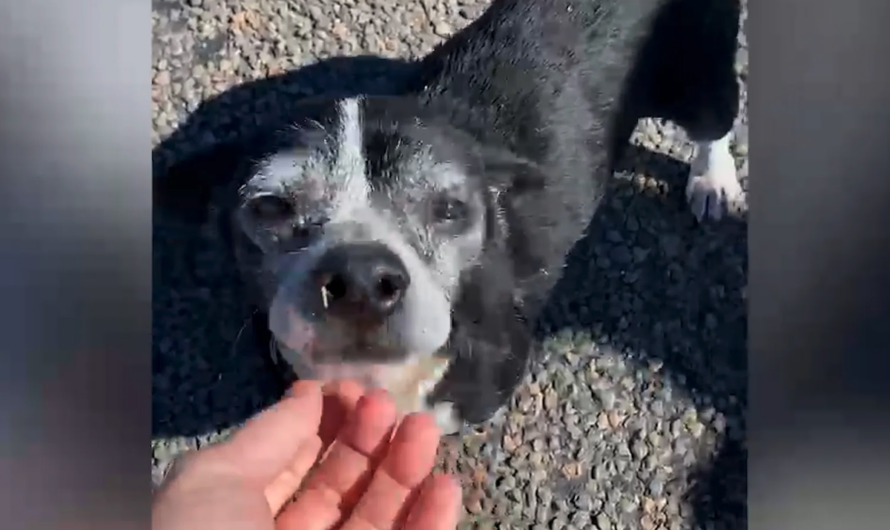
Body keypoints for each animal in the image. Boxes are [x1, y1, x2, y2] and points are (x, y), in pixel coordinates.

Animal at [154, 0, 744, 434]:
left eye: (451, 210)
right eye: (271, 206)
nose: (361, 280)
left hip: (700, 75)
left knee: (715, 122)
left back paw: (713, 181)